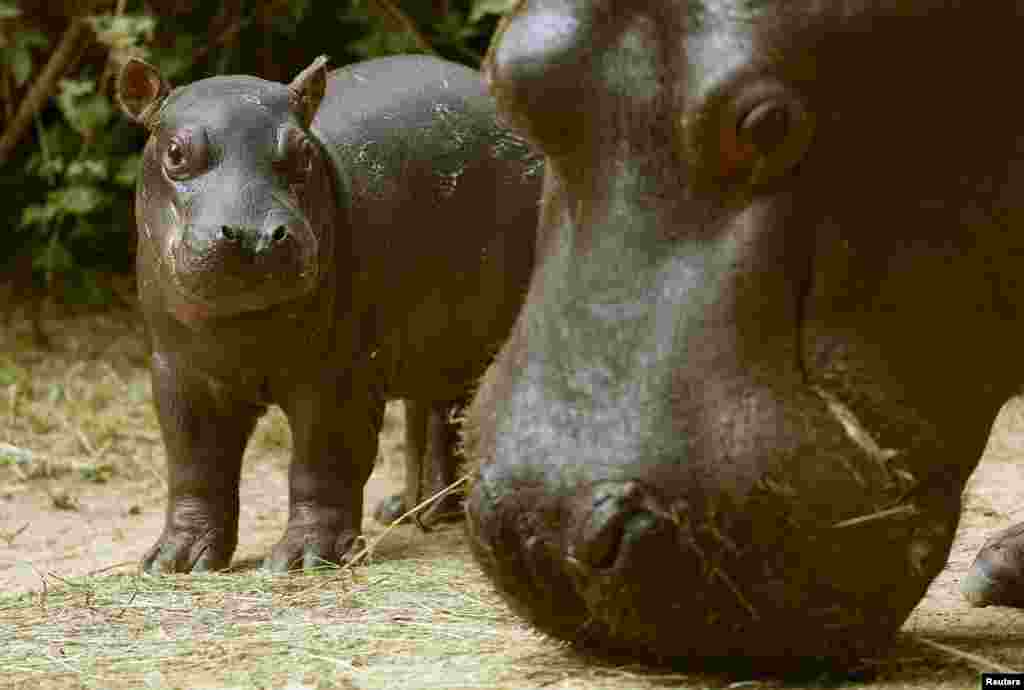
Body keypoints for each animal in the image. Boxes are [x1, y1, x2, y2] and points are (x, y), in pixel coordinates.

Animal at [116, 53, 541, 573]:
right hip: (439, 340)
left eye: (303, 152)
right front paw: (174, 560)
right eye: (175, 152)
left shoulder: (338, 376)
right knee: (437, 412)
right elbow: (194, 464)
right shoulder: (181, 373)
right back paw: (416, 511)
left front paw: (304, 559)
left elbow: (323, 462)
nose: (254, 234)